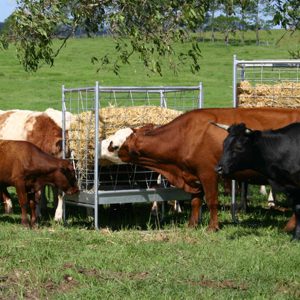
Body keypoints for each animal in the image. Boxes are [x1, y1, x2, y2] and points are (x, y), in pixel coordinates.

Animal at [102, 106, 300, 231]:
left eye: (115, 146)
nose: (101, 146)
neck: (187, 135)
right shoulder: (193, 176)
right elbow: (196, 201)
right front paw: (192, 225)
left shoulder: (208, 173)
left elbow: (211, 200)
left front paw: (213, 227)